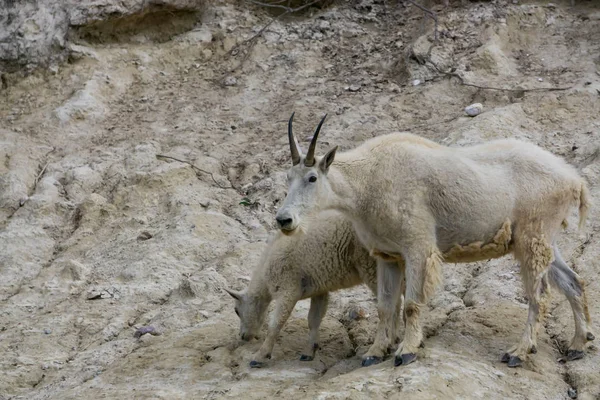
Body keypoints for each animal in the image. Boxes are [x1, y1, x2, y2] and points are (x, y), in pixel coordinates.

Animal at [227, 211, 406, 368]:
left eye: (236, 310)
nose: (243, 336)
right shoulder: (319, 290)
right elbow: (313, 319)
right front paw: (309, 352)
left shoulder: (288, 289)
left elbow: (276, 323)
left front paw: (259, 356)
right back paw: (394, 341)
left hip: (370, 265)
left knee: (393, 303)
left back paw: (385, 345)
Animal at [276, 112, 596, 368]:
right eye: (288, 177)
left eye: (312, 177)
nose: (284, 220)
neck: (366, 182)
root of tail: (573, 179)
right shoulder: (387, 255)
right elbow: (385, 306)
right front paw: (375, 352)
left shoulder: (417, 246)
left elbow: (410, 304)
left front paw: (406, 351)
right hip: (545, 241)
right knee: (573, 282)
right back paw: (578, 344)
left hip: (533, 237)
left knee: (539, 296)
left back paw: (519, 351)